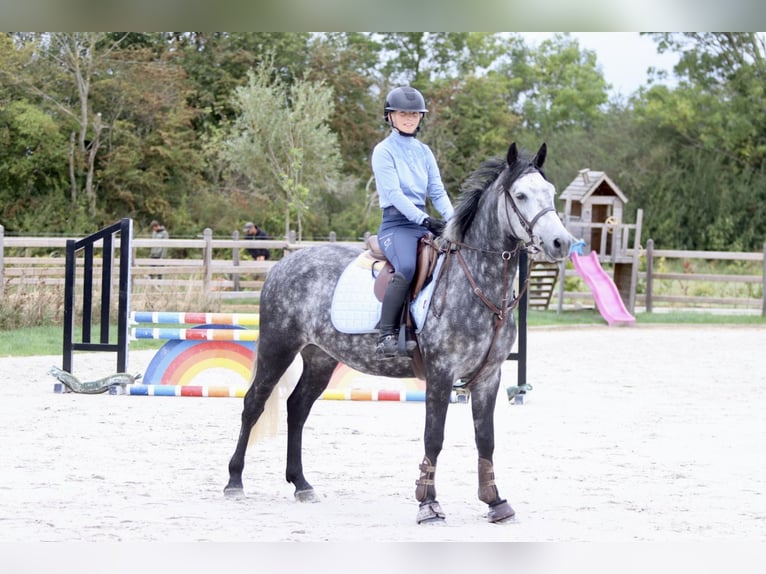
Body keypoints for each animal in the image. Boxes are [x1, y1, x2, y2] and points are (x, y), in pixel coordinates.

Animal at [224, 142, 573, 524]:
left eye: (551, 192)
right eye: (521, 195)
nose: (561, 242)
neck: (475, 280)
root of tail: (282, 264)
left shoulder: (488, 376)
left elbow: (486, 439)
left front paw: (495, 502)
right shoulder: (441, 372)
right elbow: (433, 437)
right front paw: (428, 503)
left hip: (320, 358)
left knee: (297, 407)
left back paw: (301, 484)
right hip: (279, 347)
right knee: (253, 403)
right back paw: (234, 481)